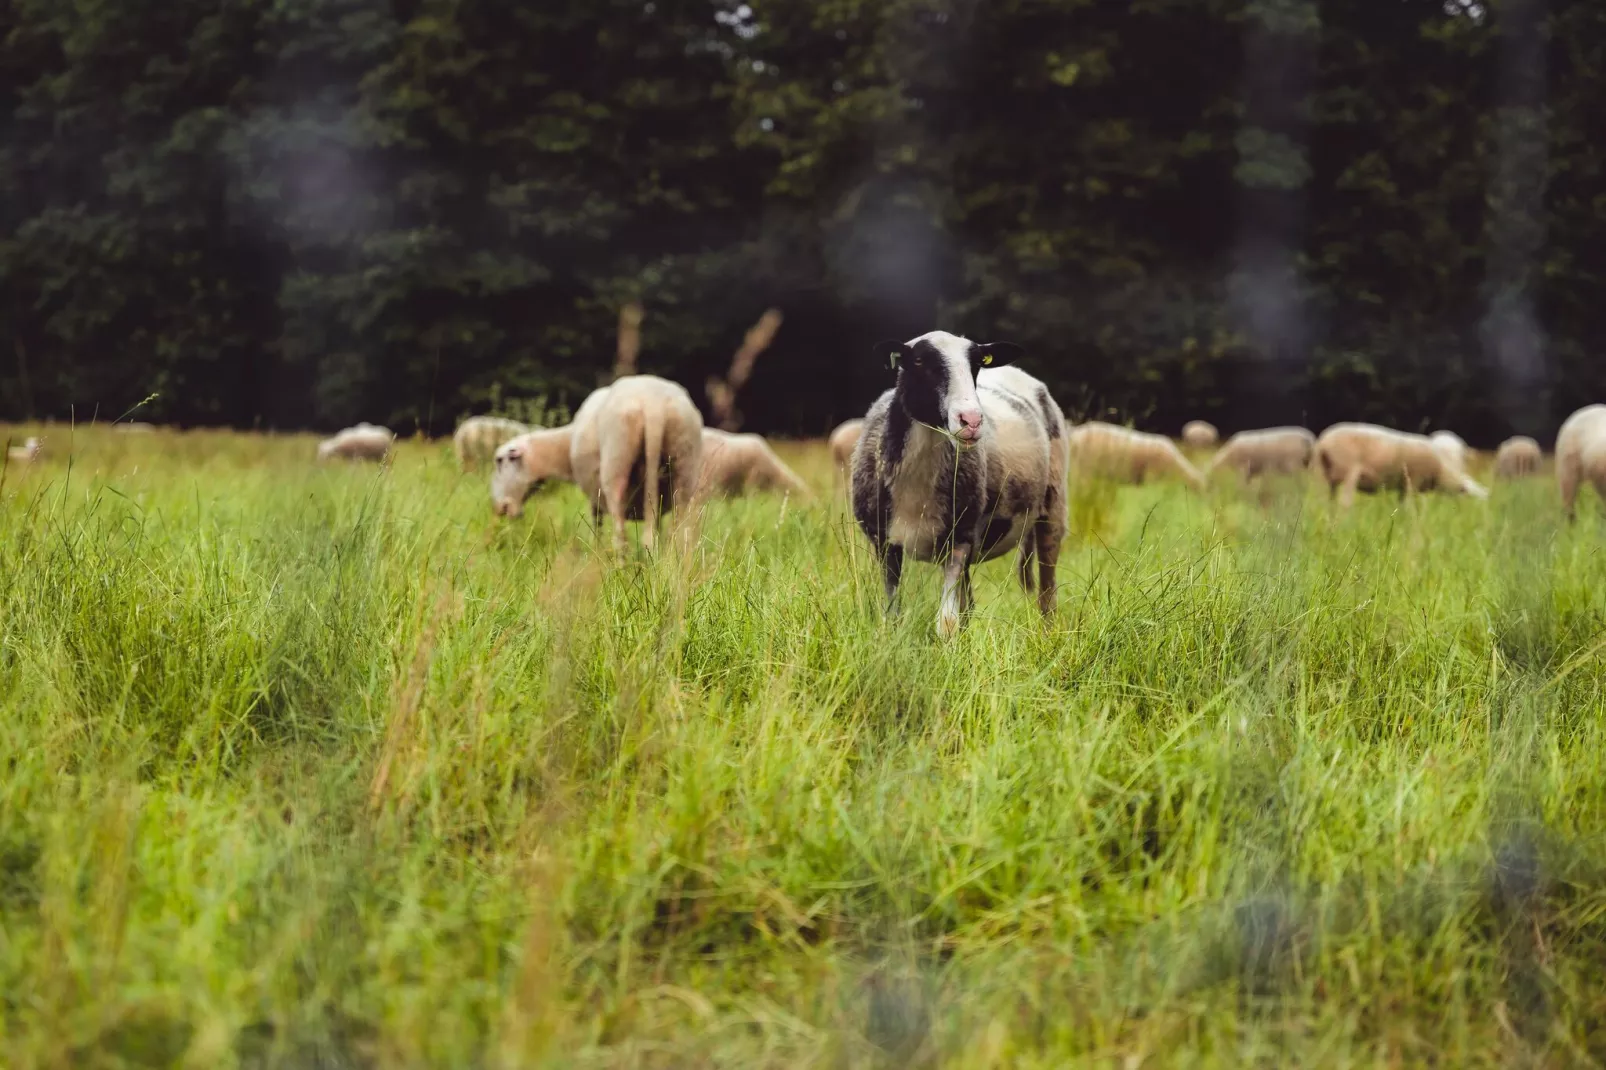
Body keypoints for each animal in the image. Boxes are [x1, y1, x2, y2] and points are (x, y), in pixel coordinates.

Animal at [847, 329, 1072, 636]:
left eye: (977, 363)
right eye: (918, 361)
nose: (972, 420)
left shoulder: (959, 538)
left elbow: (947, 623)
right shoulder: (884, 542)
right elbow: (892, 616)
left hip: (1052, 506)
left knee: (1047, 594)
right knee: (971, 605)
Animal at [1316, 424, 1490, 507]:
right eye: (1473, 496)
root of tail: (1324, 443)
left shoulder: (1404, 485)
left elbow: (1401, 504)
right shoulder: (1414, 480)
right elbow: (1408, 505)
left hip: (1328, 476)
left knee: (1329, 501)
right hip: (1349, 471)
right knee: (1345, 502)